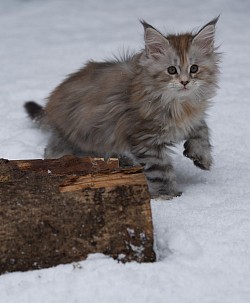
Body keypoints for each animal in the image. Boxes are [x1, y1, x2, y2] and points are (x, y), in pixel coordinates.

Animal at [24, 17, 221, 201]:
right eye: (172, 70)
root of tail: (50, 107)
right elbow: (160, 173)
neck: (180, 104)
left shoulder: (192, 118)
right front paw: (168, 196)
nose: (185, 82)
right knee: (53, 152)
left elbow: (202, 129)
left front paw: (201, 156)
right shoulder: (145, 141)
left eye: (194, 68)